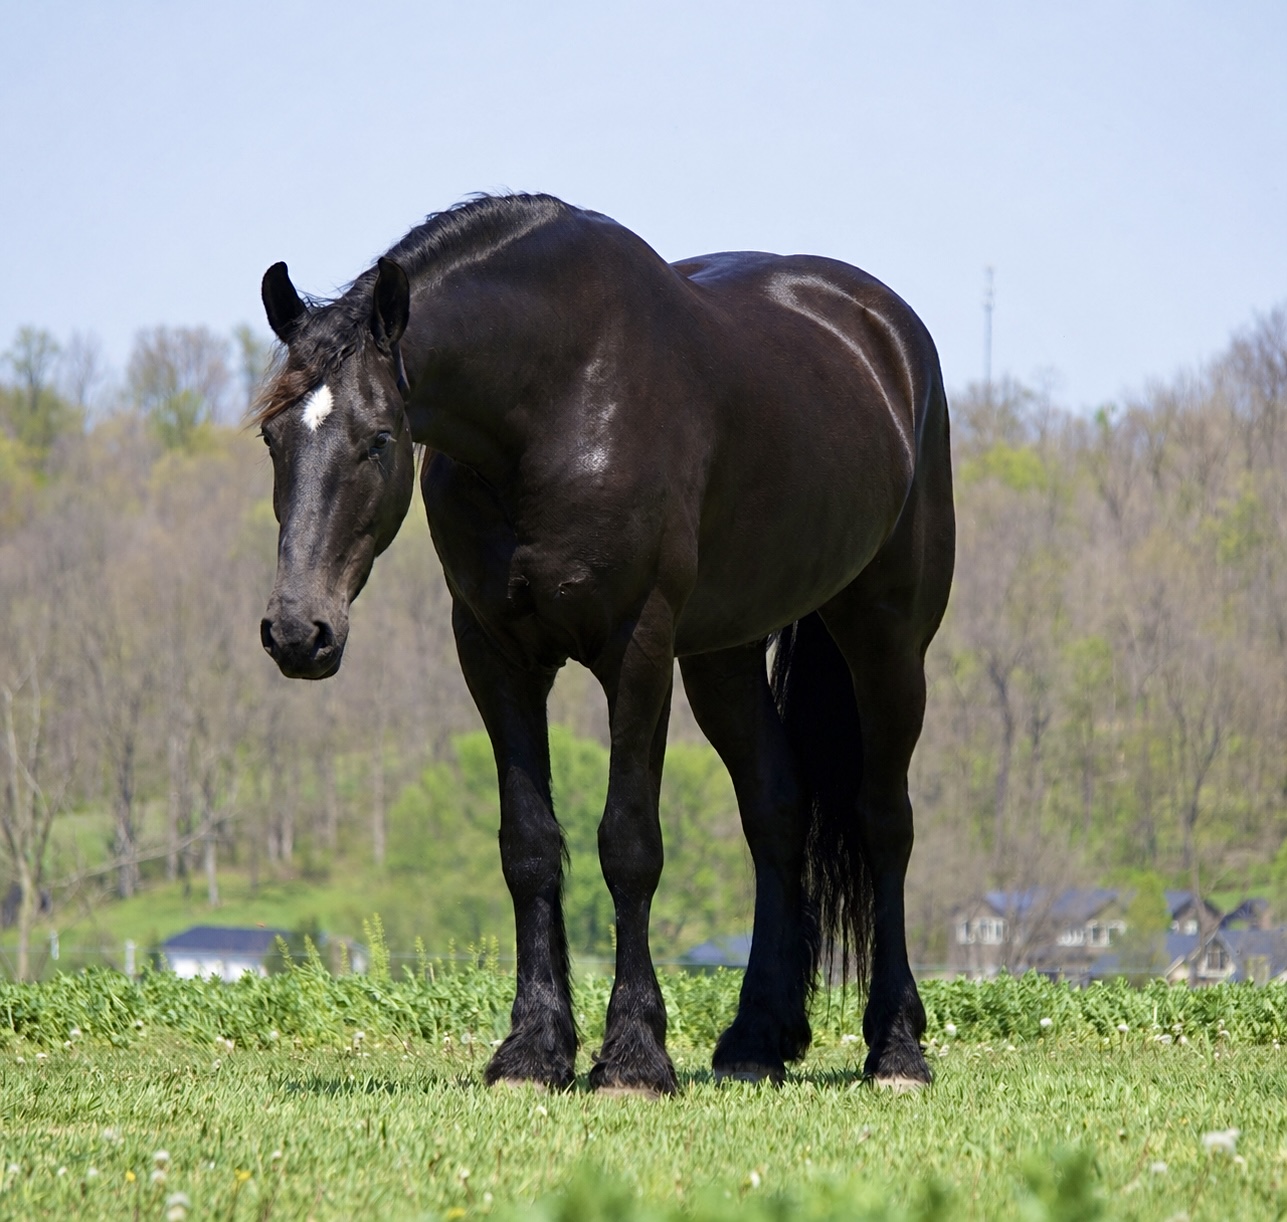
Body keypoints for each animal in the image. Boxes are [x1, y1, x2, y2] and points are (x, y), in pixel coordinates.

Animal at [255, 194, 954, 1096]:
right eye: (273, 438)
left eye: (378, 438)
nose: (297, 631)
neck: (555, 401)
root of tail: (883, 332)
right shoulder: (494, 652)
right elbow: (528, 847)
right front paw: (532, 1050)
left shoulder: (637, 651)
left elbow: (628, 844)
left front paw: (632, 1057)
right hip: (722, 657)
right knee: (776, 812)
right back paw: (756, 1038)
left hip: (886, 637)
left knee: (883, 821)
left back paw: (895, 1048)